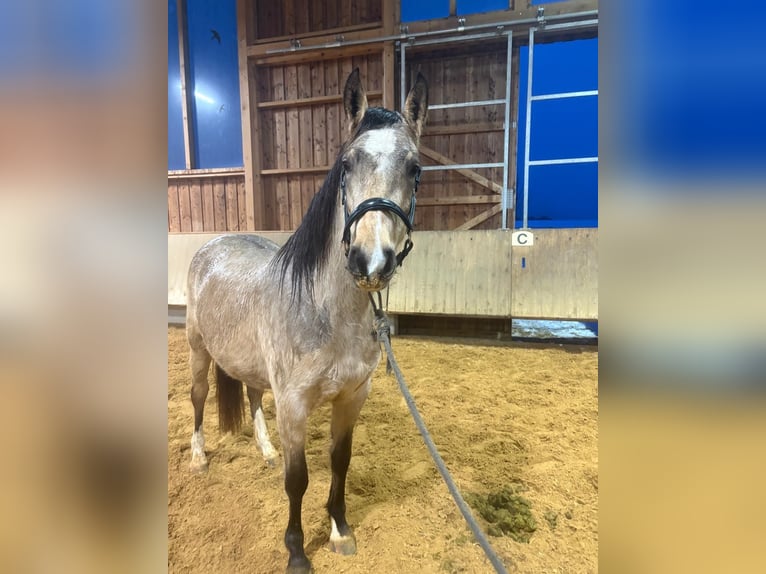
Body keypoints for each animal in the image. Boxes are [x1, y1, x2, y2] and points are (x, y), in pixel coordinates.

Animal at [185, 67, 428, 573]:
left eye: (415, 169)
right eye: (347, 164)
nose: (370, 261)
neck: (328, 313)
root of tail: (213, 244)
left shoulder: (352, 397)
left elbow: (340, 462)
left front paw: (339, 531)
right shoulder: (294, 405)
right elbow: (297, 479)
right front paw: (297, 552)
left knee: (253, 396)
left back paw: (264, 450)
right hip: (198, 351)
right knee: (197, 399)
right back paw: (198, 458)